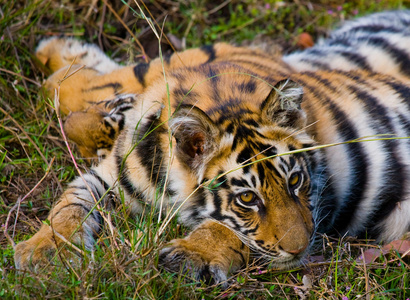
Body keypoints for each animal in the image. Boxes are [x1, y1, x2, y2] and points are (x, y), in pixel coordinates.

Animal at [12, 11, 410, 284]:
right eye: (247, 199)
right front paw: (47, 251)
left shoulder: (323, 196)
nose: (301, 250)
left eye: (295, 182)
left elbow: (226, 229)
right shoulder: (114, 176)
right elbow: (69, 203)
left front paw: (191, 254)